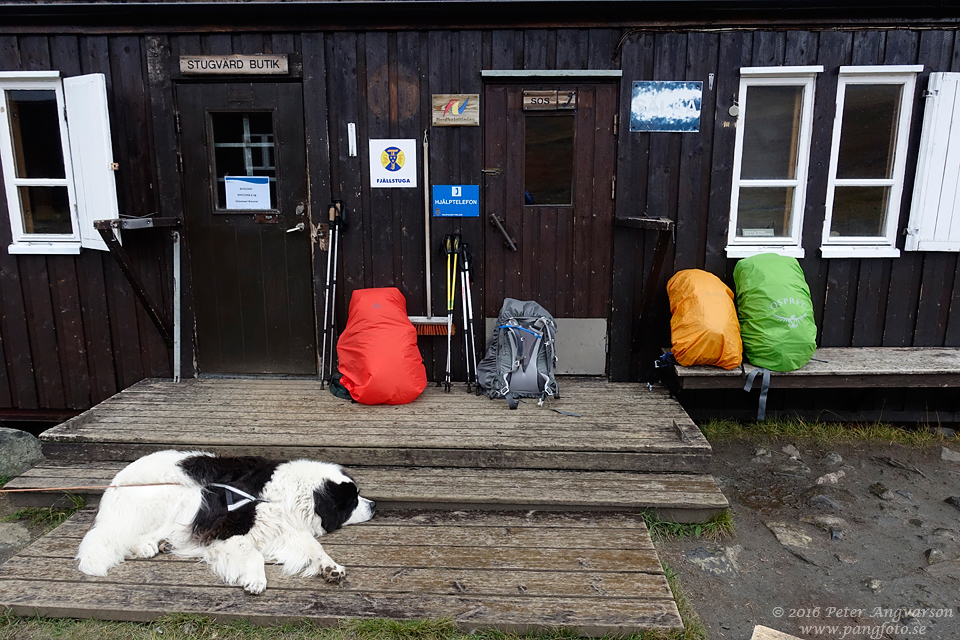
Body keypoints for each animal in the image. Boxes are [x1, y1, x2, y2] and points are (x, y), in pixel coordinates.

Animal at [77, 450, 376, 596]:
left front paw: (331, 567)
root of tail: (111, 490)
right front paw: (255, 579)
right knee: (127, 536)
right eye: (352, 500)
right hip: (172, 497)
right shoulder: (224, 530)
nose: (374, 505)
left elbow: (313, 547)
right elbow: (254, 555)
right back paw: (149, 545)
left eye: (357, 495)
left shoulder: (285, 527)